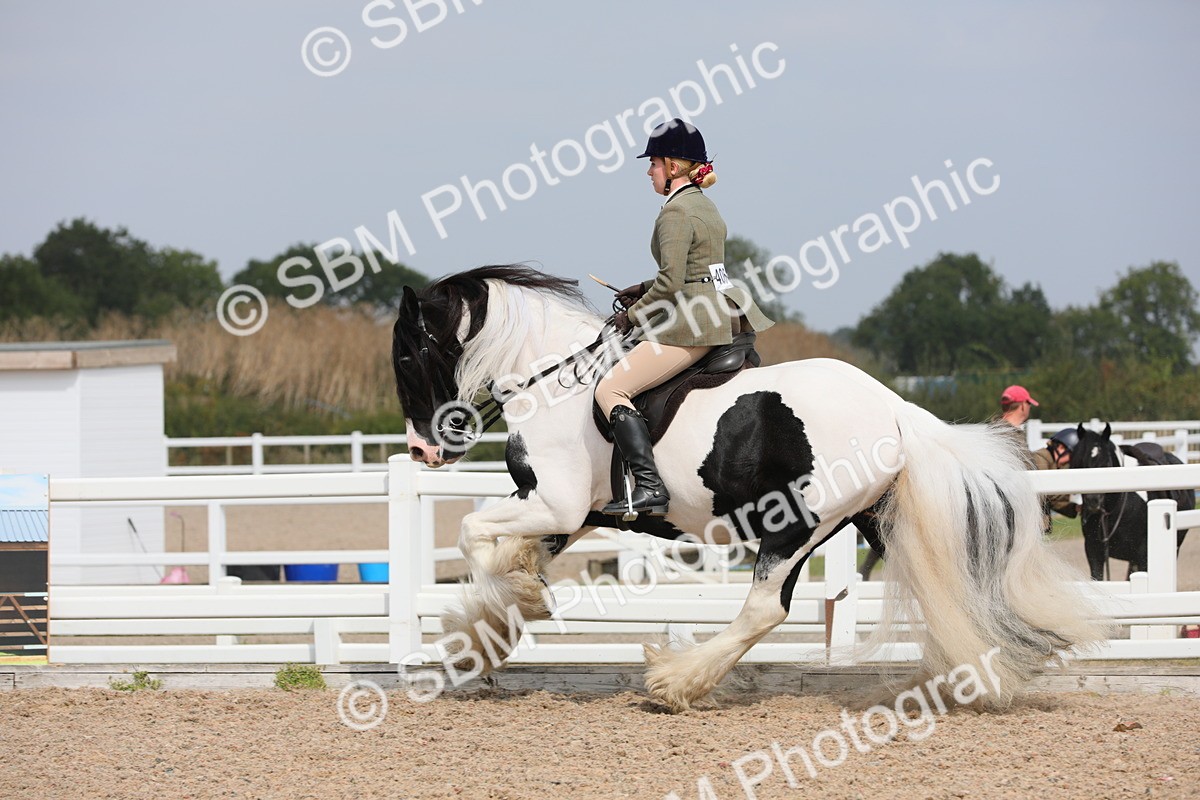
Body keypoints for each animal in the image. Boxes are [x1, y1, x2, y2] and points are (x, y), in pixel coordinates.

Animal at [391, 265, 1107, 712]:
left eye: (406, 354)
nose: (423, 451)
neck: (551, 380)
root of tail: (895, 407)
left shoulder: (555, 501)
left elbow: (472, 535)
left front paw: (515, 603)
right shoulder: (567, 513)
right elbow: (503, 550)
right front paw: (490, 628)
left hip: (794, 527)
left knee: (764, 609)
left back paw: (676, 682)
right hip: (873, 522)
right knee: (955, 586)